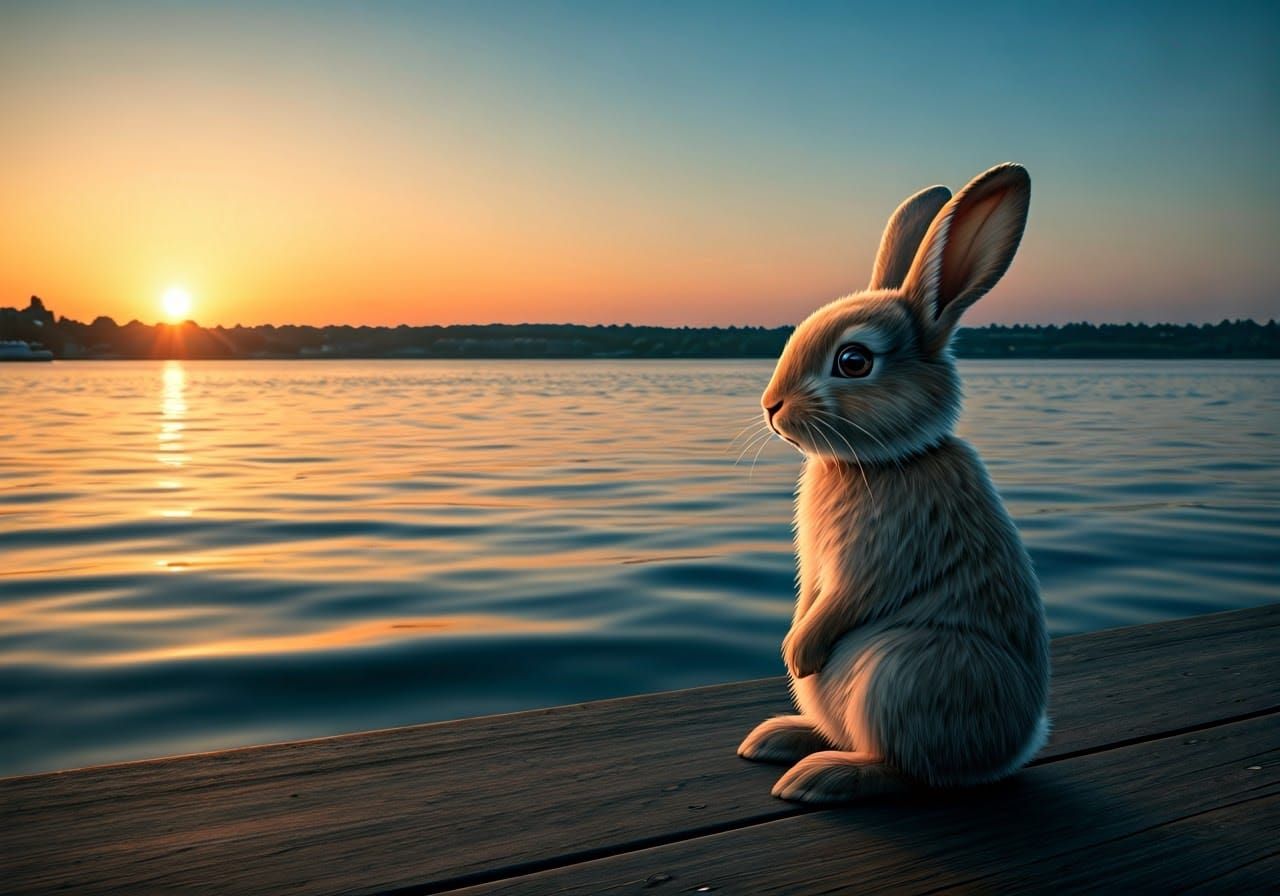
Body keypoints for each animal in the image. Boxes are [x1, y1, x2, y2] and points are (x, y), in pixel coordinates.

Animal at [737, 163, 1050, 804]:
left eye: (853, 361)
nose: (771, 407)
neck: (883, 460)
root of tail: (1017, 747)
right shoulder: (818, 570)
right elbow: (810, 598)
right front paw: (791, 651)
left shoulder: (883, 550)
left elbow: (851, 596)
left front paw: (797, 654)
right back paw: (779, 738)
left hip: (903, 671)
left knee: (909, 770)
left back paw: (820, 777)